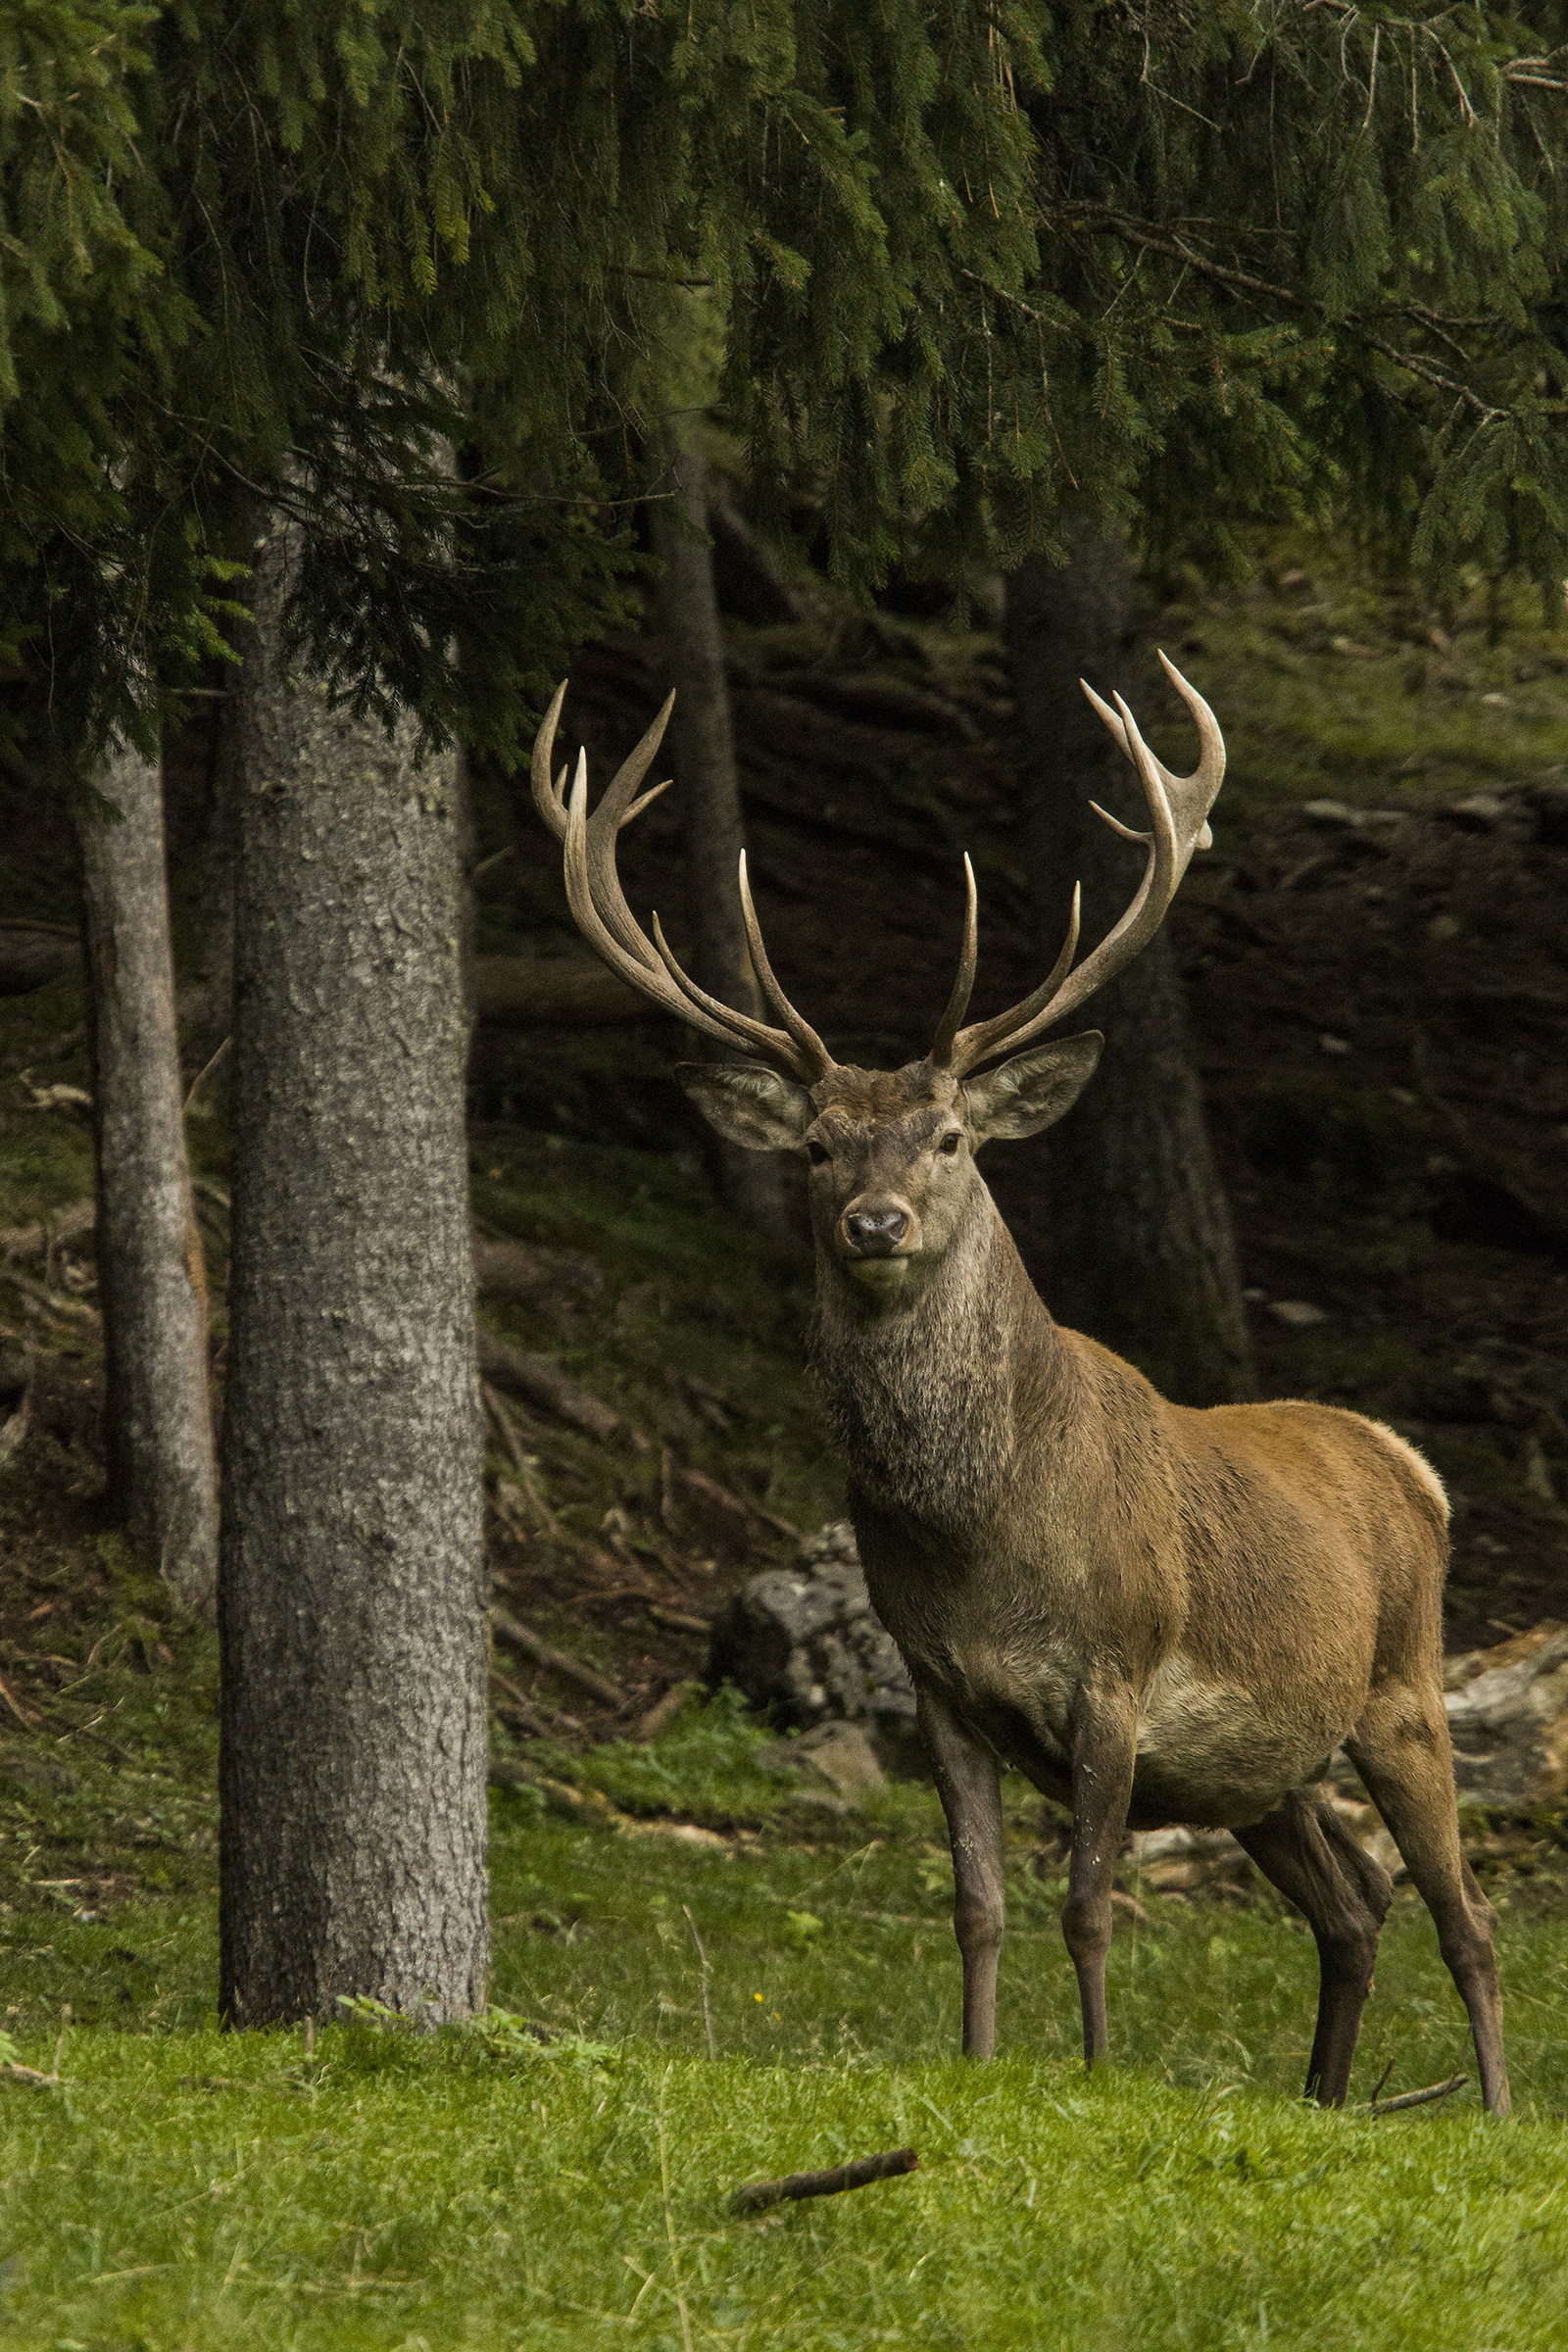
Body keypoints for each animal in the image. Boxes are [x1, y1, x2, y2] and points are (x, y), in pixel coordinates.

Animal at [529, 662, 1509, 2116]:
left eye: (948, 1138)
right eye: (816, 1146)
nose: (874, 1222)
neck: (980, 1534)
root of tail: (1412, 1464)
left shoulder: (1115, 1668)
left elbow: (1090, 1904)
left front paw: (1095, 2073)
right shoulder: (940, 1688)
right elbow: (977, 1906)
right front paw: (977, 2060)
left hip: (1402, 1685)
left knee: (1467, 1915)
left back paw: (1490, 2111)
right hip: (1265, 1770)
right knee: (1353, 1901)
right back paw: (1322, 2097)